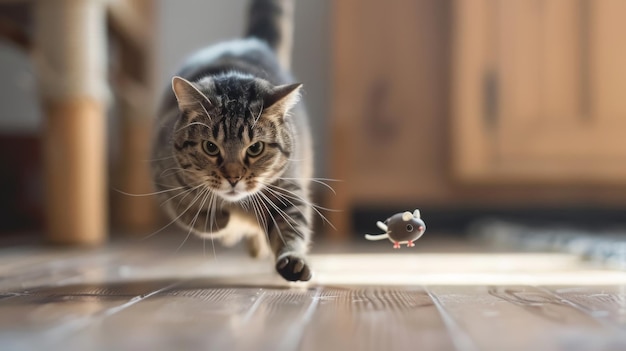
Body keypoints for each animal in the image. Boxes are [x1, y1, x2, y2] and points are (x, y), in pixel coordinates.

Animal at [149, 0, 314, 282]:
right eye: (210, 147)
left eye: (255, 148)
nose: (234, 177)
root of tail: (251, 41)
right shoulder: (164, 179)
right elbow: (191, 213)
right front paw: (220, 221)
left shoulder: (286, 187)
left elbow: (293, 225)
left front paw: (293, 259)